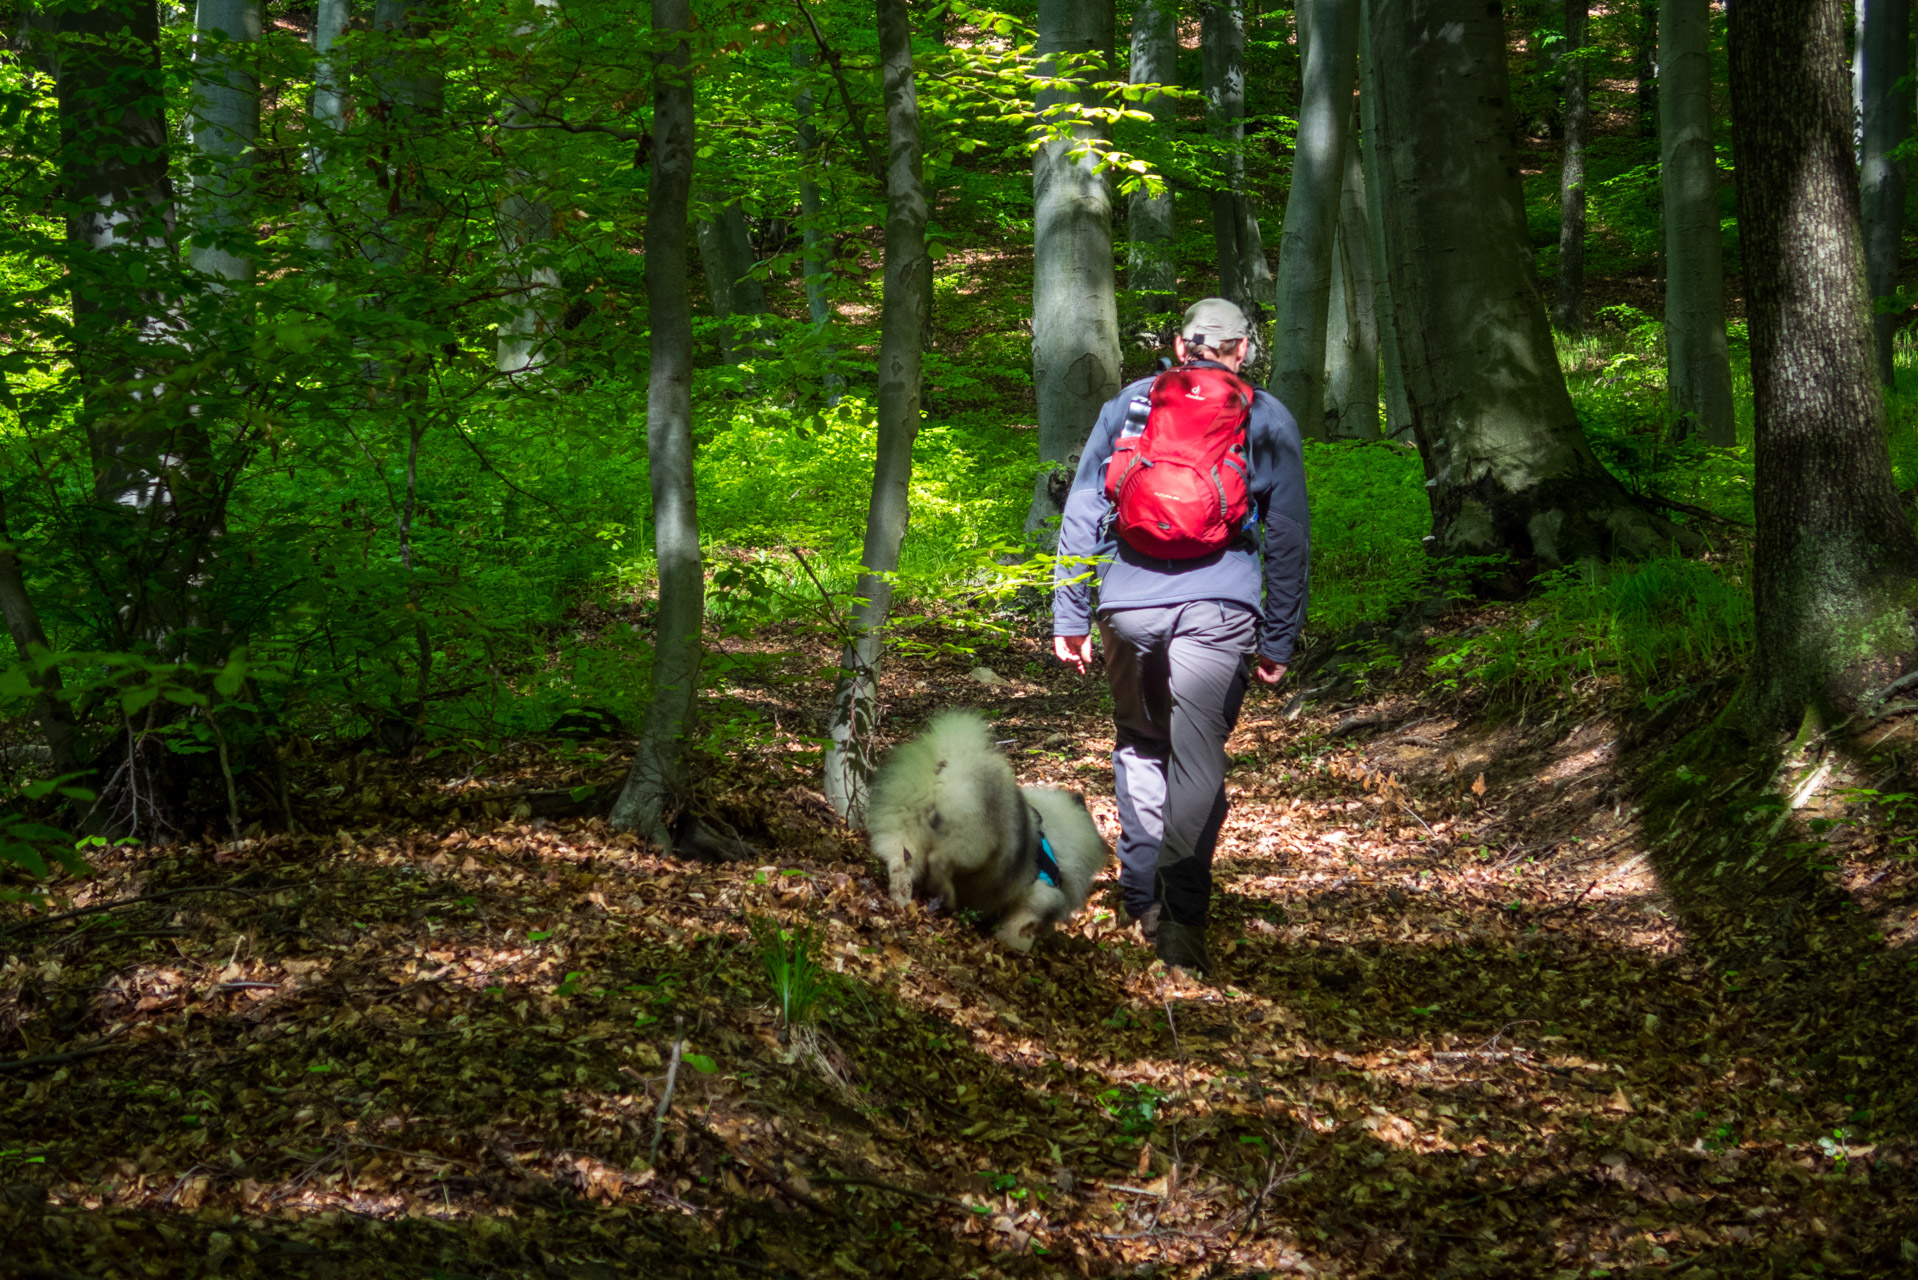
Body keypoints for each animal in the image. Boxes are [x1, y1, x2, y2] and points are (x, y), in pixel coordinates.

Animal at [870, 710, 1112, 951]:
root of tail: (945, 765)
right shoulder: (1040, 898)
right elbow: (1021, 929)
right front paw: (1016, 947)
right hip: (975, 845)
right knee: (939, 862)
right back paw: (947, 897)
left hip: (903, 831)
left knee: (902, 866)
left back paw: (902, 898)